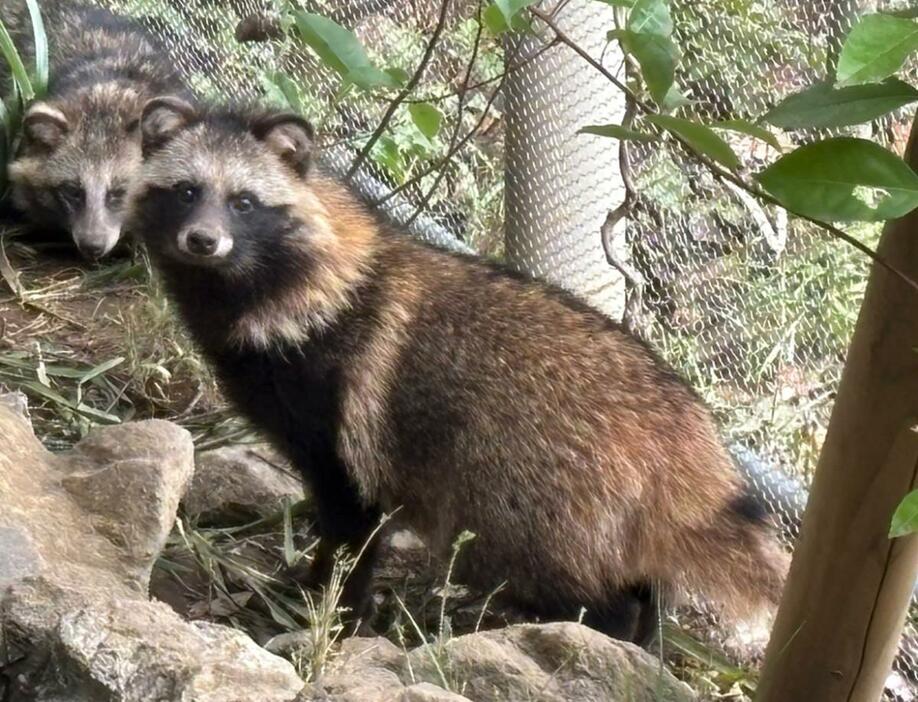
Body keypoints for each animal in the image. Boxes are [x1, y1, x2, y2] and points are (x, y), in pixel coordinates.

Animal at [129, 96, 792, 648]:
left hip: (534, 497)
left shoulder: (340, 417)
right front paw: (314, 584)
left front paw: (336, 607)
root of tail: (682, 428)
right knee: (643, 586)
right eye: (185, 191)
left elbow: (353, 522)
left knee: (575, 584)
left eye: (243, 202)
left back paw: (594, 633)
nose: (202, 240)